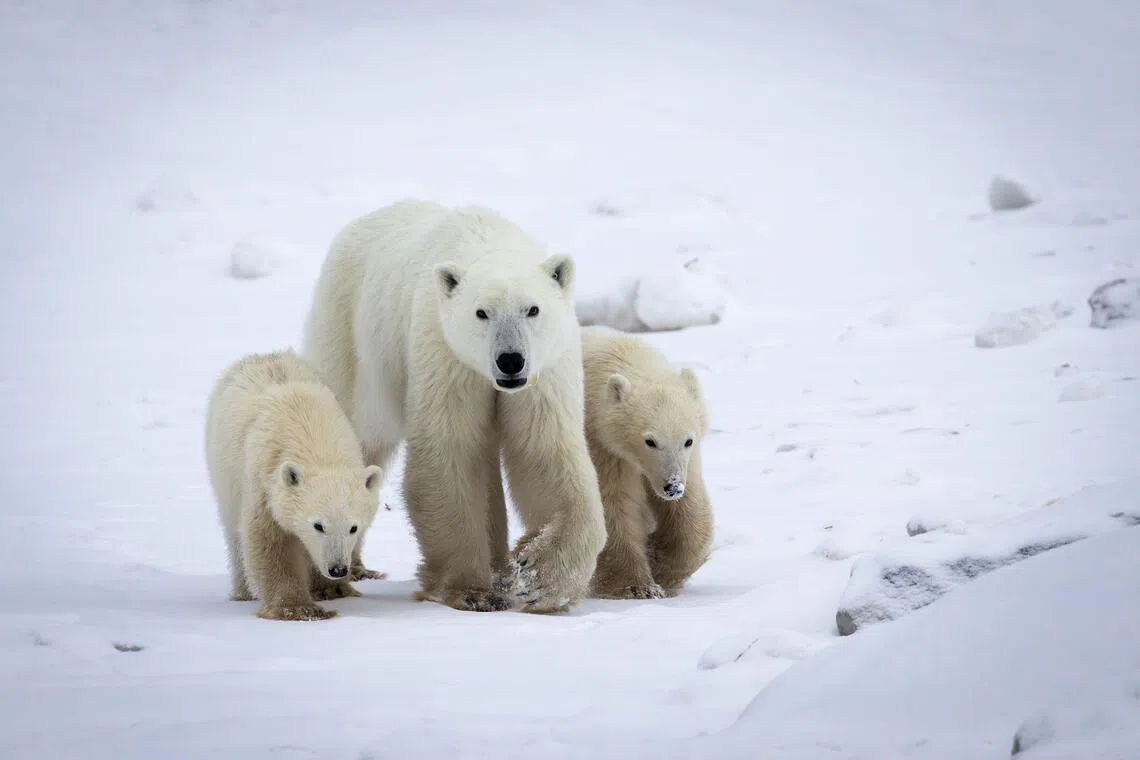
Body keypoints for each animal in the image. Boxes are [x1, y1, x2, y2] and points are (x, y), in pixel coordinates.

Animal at [204, 349, 384, 621]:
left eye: (354, 527)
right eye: (318, 525)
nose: (338, 569)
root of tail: (264, 355)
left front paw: (332, 590)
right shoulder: (265, 483)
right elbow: (271, 540)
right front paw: (298, 608)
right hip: (223, 473)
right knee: (234, 533)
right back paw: (243, 592)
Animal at [300, 199, 607, 614]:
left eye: (533, 309)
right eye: (481, 312)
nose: (510, 361)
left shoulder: (545, 370)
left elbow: (543, 451)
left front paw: (539, 577)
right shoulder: (446, 354)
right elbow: (450, 453)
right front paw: (471, 591)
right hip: (351, 340)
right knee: (356, 436)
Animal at [580, 326, 714, 600]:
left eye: (688, 440)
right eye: (650, 441)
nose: (672, 487)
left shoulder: (688, 462)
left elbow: (689, 510)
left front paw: (662, 564)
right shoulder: (604, 446)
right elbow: (615, 505)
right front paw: (639, 587)